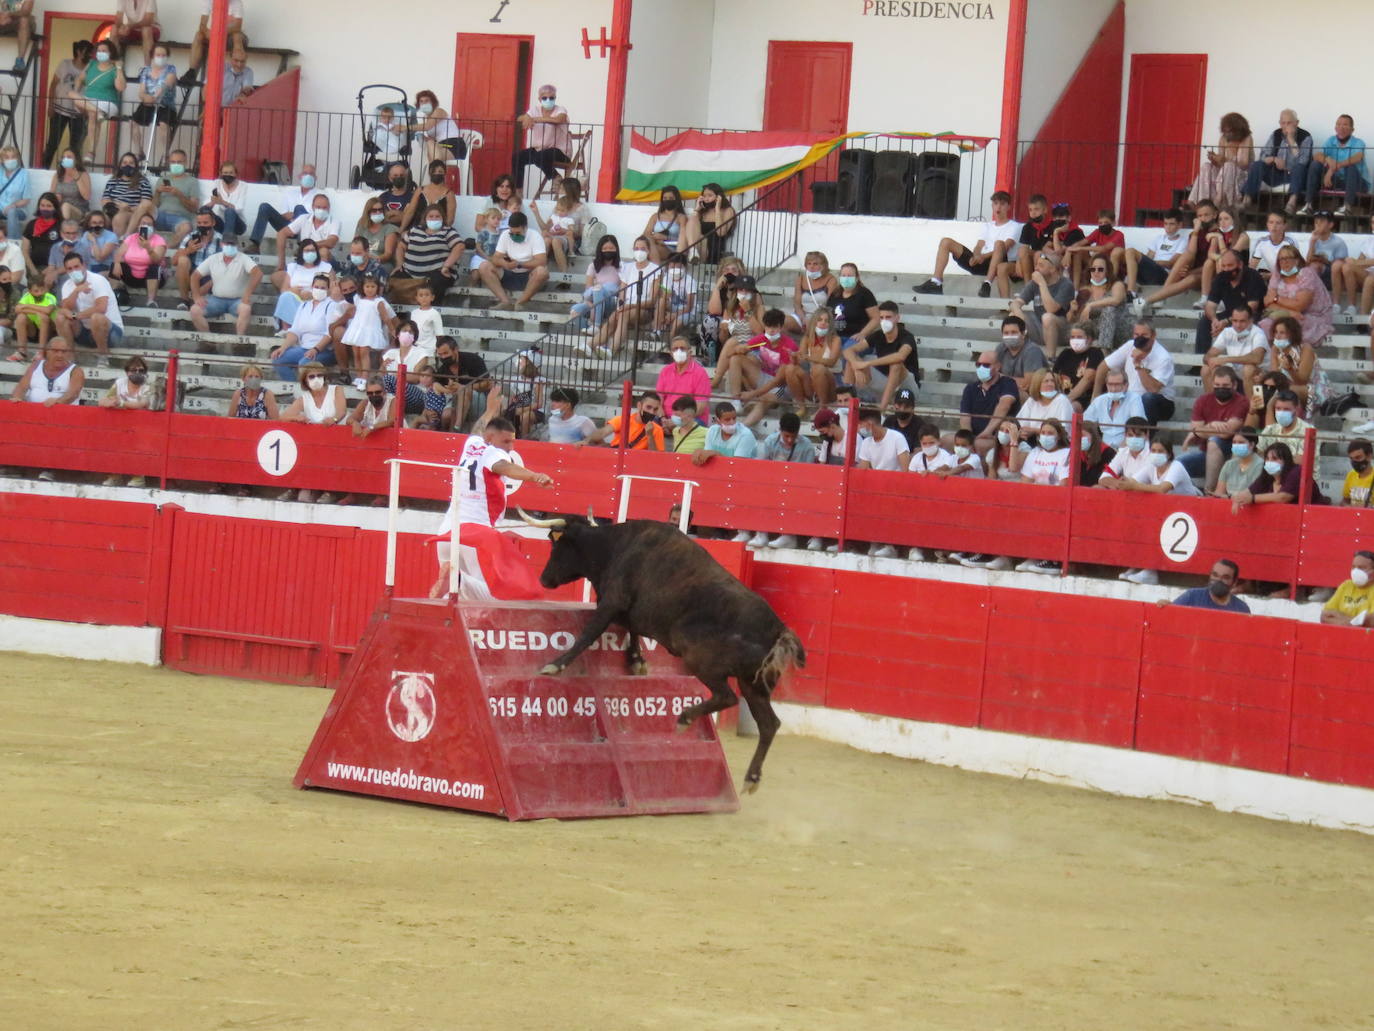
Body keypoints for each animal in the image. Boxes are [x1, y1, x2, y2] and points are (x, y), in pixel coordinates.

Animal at [519, 514, 807, 797]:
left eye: (555, 545)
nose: (543, 579)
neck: (614, 545)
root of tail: (778, 630)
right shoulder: (631, 611)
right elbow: (632, 628)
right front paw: (637, 662)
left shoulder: (611, 601)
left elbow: (588, 634)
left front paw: (555, 665)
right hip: (754, 685)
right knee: (769, 723)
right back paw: (751, 778)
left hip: (701, 661)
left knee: (727, 696)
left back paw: (685, 718)